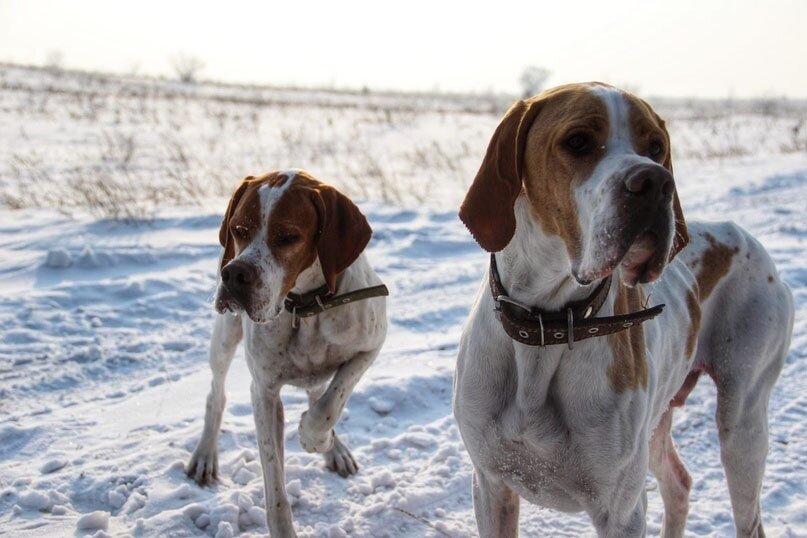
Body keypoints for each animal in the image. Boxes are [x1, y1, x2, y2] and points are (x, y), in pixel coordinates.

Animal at [189, 170, 392, 532]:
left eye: (287, 237)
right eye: (238, 229)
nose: (235, 274)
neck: (306, 307)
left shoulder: (370, 347)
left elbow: (331, 402)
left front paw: (319, 440)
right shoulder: (264, 392)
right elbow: (275, 486)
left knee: (318, 393)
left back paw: (335, 448)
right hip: (224, 338)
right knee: (216, 394)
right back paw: (204, 455)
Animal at [454, 84, 796, 536]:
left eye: (656, 147)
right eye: (577, 141)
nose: (656, 182)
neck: (547, 325)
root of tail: (748, 239)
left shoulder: (620, 510)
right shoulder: (491, 487)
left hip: (742, 423)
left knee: (747, 515)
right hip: (659, 423)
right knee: (679, 484)